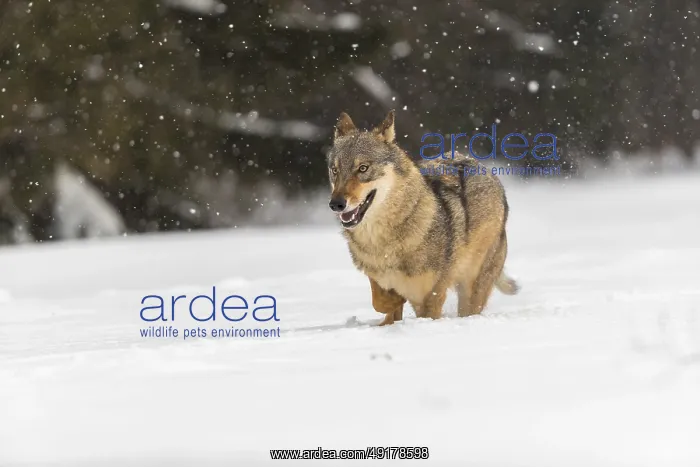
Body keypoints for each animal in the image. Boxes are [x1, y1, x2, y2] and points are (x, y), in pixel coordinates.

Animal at [326, 110, 519, 325]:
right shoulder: (377, 278)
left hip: (472, 291)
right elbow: (380, 302)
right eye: (335, 170)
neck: (382, 244)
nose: (336, 204)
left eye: (363, 168)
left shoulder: (430, 297)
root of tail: (482, 167)